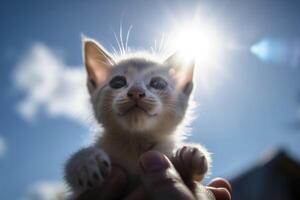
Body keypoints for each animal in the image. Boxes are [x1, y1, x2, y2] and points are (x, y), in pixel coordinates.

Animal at [64, 37, 212, 198]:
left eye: (158, 83)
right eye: (117, 82)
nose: (136, 92)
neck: (135, 145)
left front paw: (190, 155)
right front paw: (86, 161)